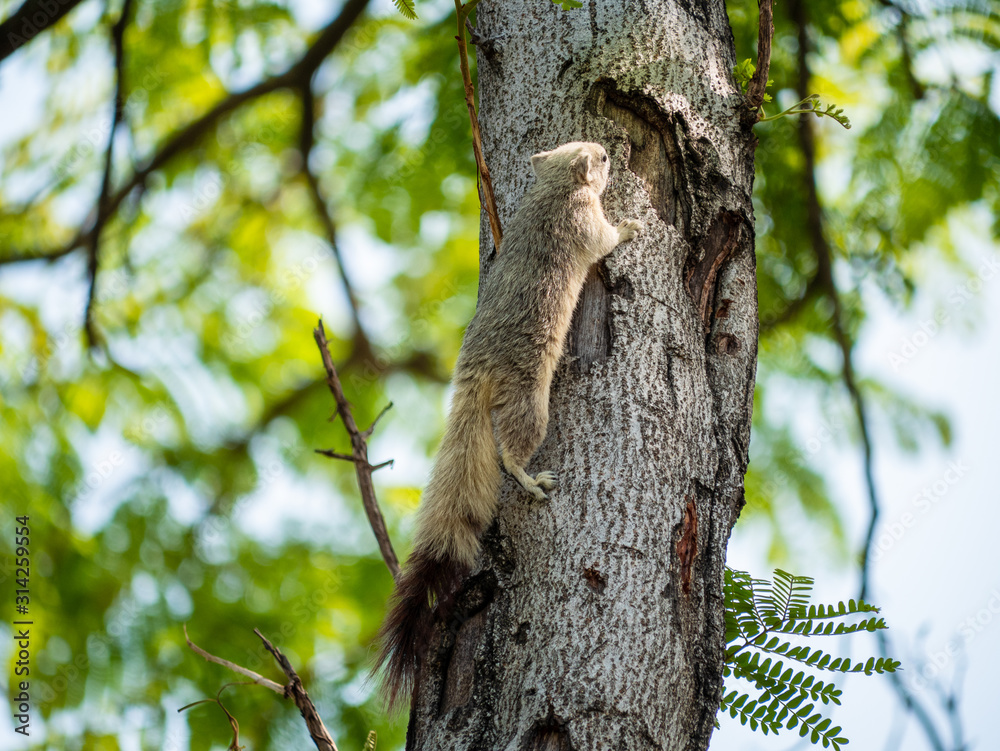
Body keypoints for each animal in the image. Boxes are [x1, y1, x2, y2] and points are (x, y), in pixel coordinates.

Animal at [374, 141, 643, 710]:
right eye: (601, 159)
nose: (613, 149)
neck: (554, 190)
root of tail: (475, 375)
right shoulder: (584, 223)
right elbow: (605, 240)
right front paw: (632, 227)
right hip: (528, 402)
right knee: (509, 452)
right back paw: (530, 478)